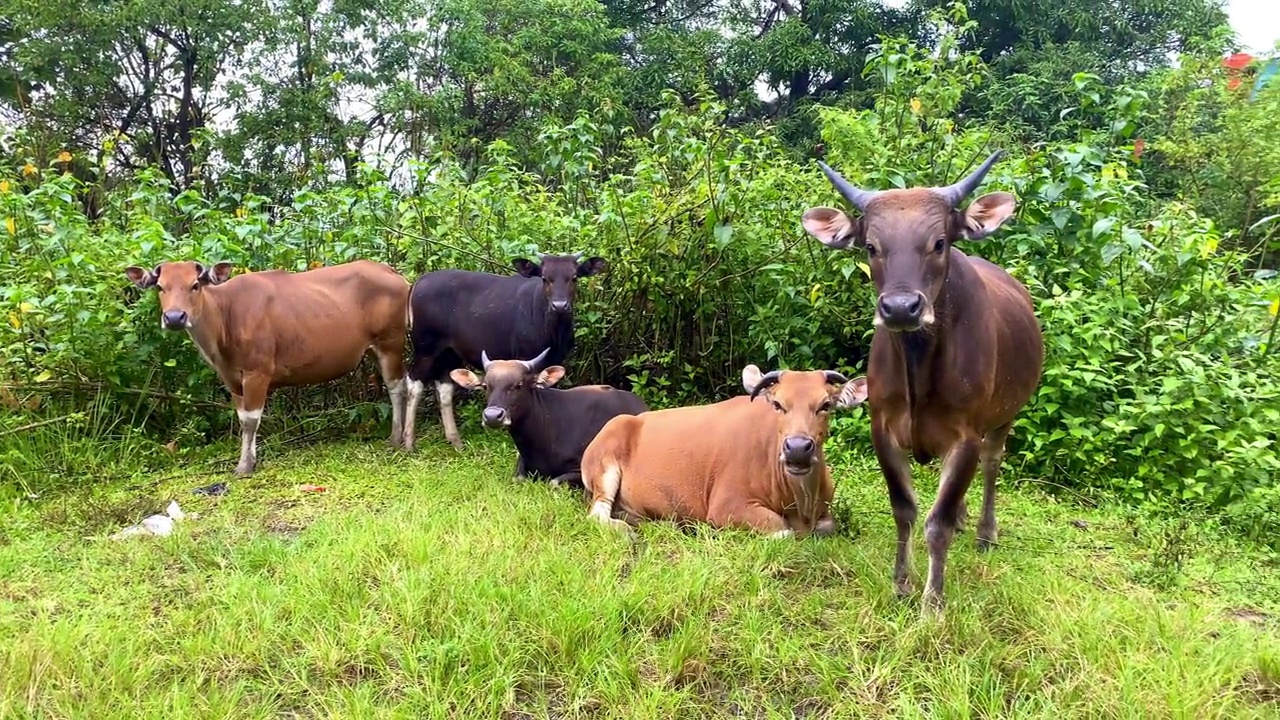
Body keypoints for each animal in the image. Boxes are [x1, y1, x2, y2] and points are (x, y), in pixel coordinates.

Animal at [124, 257, 409, 476]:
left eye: (194, 285)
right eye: (160, 287)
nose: (174, 317)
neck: (226, 318)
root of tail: (393, 273)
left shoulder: (257, 373)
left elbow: (251, 420)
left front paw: (245, 466)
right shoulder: (231, 379)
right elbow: (242, 419)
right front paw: (248, 459)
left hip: (391, 344)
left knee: (398, 387)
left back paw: (397, 439)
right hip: (373, 349)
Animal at [404, 251, 609, 448]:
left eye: (574, 277)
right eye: (544, 278)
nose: (559, 305)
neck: (552, 329)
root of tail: (417, 283)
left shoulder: (556, 359)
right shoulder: (526, 357)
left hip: (449, 351)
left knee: (445, 386)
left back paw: (455, 441)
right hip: (425, 348)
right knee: (414, 382)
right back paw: (408, 442)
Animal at [583, 361, 870, 535]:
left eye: (825, 405)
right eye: (778, 404)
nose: (797, 448)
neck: (799, 502)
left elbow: (828, 526)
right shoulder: (726, 507)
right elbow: (781, 529)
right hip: (603, 468)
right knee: (597, 512)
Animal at [803, 149, 1044, 609]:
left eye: (939, 242)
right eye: (871, 246)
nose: (901, 307)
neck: (919, 367)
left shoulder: (966, 435)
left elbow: (938, 522)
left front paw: (933, 601)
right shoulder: (882, 427)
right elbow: (905, 509)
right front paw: (901, 583)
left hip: (1006, 414)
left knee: (992, 463)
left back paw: (985, 531)